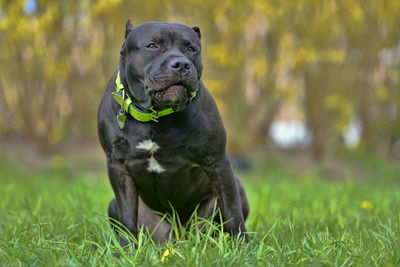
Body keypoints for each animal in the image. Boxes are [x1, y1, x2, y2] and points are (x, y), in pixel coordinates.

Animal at [97, 20, 247, 247]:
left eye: (191, 49)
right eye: (152, 45)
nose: (181, 64)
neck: (155, 114)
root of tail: (175, 237)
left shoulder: (217, 161)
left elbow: (232, 210)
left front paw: (243, 246)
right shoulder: (118, 166)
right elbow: (128, 217)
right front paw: (125, 250)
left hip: (232, 192)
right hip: (115, 205)